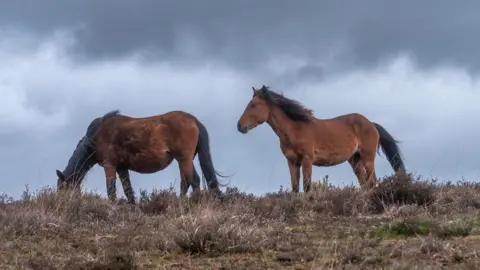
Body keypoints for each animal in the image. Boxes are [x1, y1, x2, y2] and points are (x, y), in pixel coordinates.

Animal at [55, 109, 225, 202]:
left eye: (62, 188)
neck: (96, 136)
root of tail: (194, 120)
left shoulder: (110, 165)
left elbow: (111, 190)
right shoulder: (122, 168)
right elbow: (128, 190)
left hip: (184, 159)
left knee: (193, 180)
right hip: (183, 160)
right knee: (186, 182)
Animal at [236, 85, 404, 193]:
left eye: (253, 105)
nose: (240, 126)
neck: (295, 129)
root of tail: (371, 124)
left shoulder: (307, 160)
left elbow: (307, 187)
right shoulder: (292, 162)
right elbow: (295, 188)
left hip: (367, 157)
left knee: (372, 181)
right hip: (354, 159)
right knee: (364, 183)